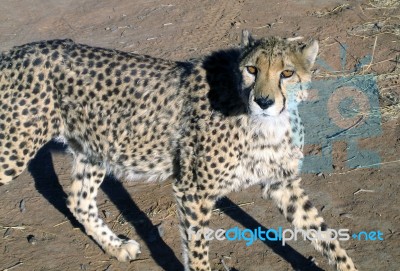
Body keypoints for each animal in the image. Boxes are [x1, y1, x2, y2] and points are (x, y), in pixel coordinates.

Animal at [0, 29, 356, 271]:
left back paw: (116, 247)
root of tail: (15, 52)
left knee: (79, 201)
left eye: (287, 73)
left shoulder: (281, 184)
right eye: (252, 69)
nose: (264, 101)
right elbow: (197, 250)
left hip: (94, 146)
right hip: (13, 148)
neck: (262, 121)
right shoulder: (193, 189)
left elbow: (325, 234)